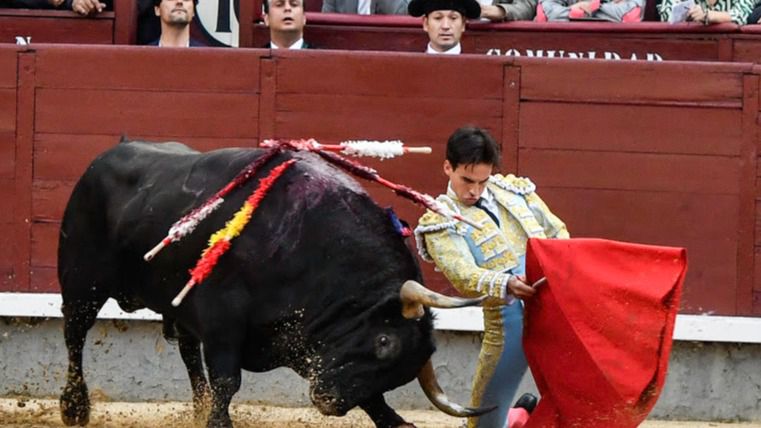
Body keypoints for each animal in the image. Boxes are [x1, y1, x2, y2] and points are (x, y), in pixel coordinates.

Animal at [58, 141, 486, 428]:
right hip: (80, 287)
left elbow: (375, 401)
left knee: (187, 353)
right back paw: (75, 409)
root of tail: (109, 153)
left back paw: (197, 408)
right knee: (75, 338)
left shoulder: (300, 338)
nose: (328, 402)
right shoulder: (222, 321)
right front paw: (219, 423)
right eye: (385, 342)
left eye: (401, 372)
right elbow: (228, 381)